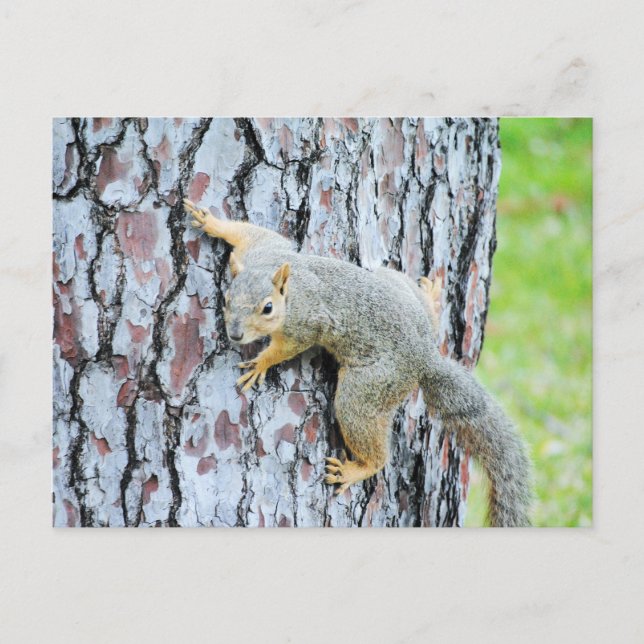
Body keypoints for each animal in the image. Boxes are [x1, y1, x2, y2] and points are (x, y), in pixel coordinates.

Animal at [183, 198, 532, 527]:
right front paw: (212, 222)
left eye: (267, 308)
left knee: (367, 434)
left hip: (369, 386)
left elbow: (287, 346)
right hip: (393, 282)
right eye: (227, 299)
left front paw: (261, 363)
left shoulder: (304, 325)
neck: (290, 293)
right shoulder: (264, 249)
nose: (236, 334)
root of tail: (424, 356)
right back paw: (431, 300)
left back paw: (358, 469)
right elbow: (249, 232)